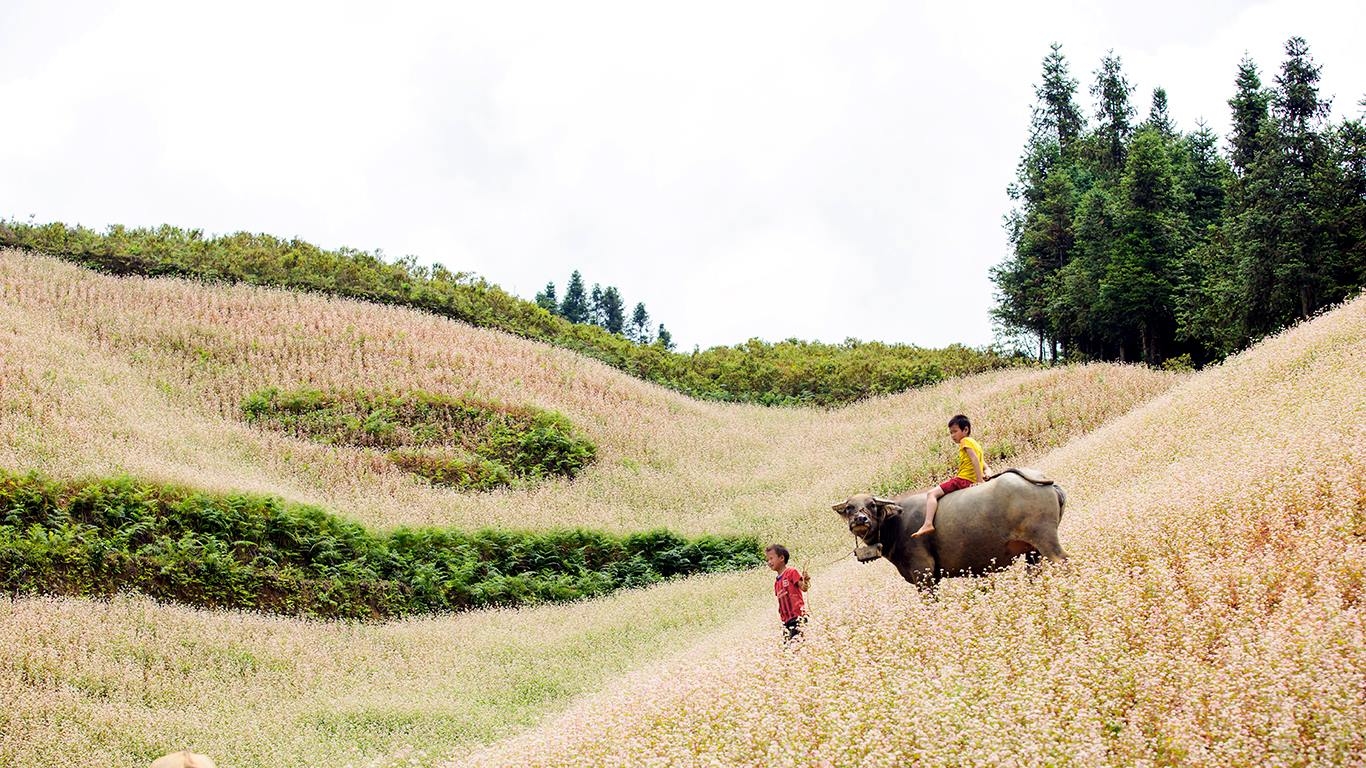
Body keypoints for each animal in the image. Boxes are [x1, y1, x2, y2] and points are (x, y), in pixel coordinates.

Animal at [830, 467, 1065, 584]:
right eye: (850, 508)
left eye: (871, 505)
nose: (860, 520)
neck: (896, 524)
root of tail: (1044, 479)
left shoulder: (923, 574)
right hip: (1032, 552)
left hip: (1045, 540)